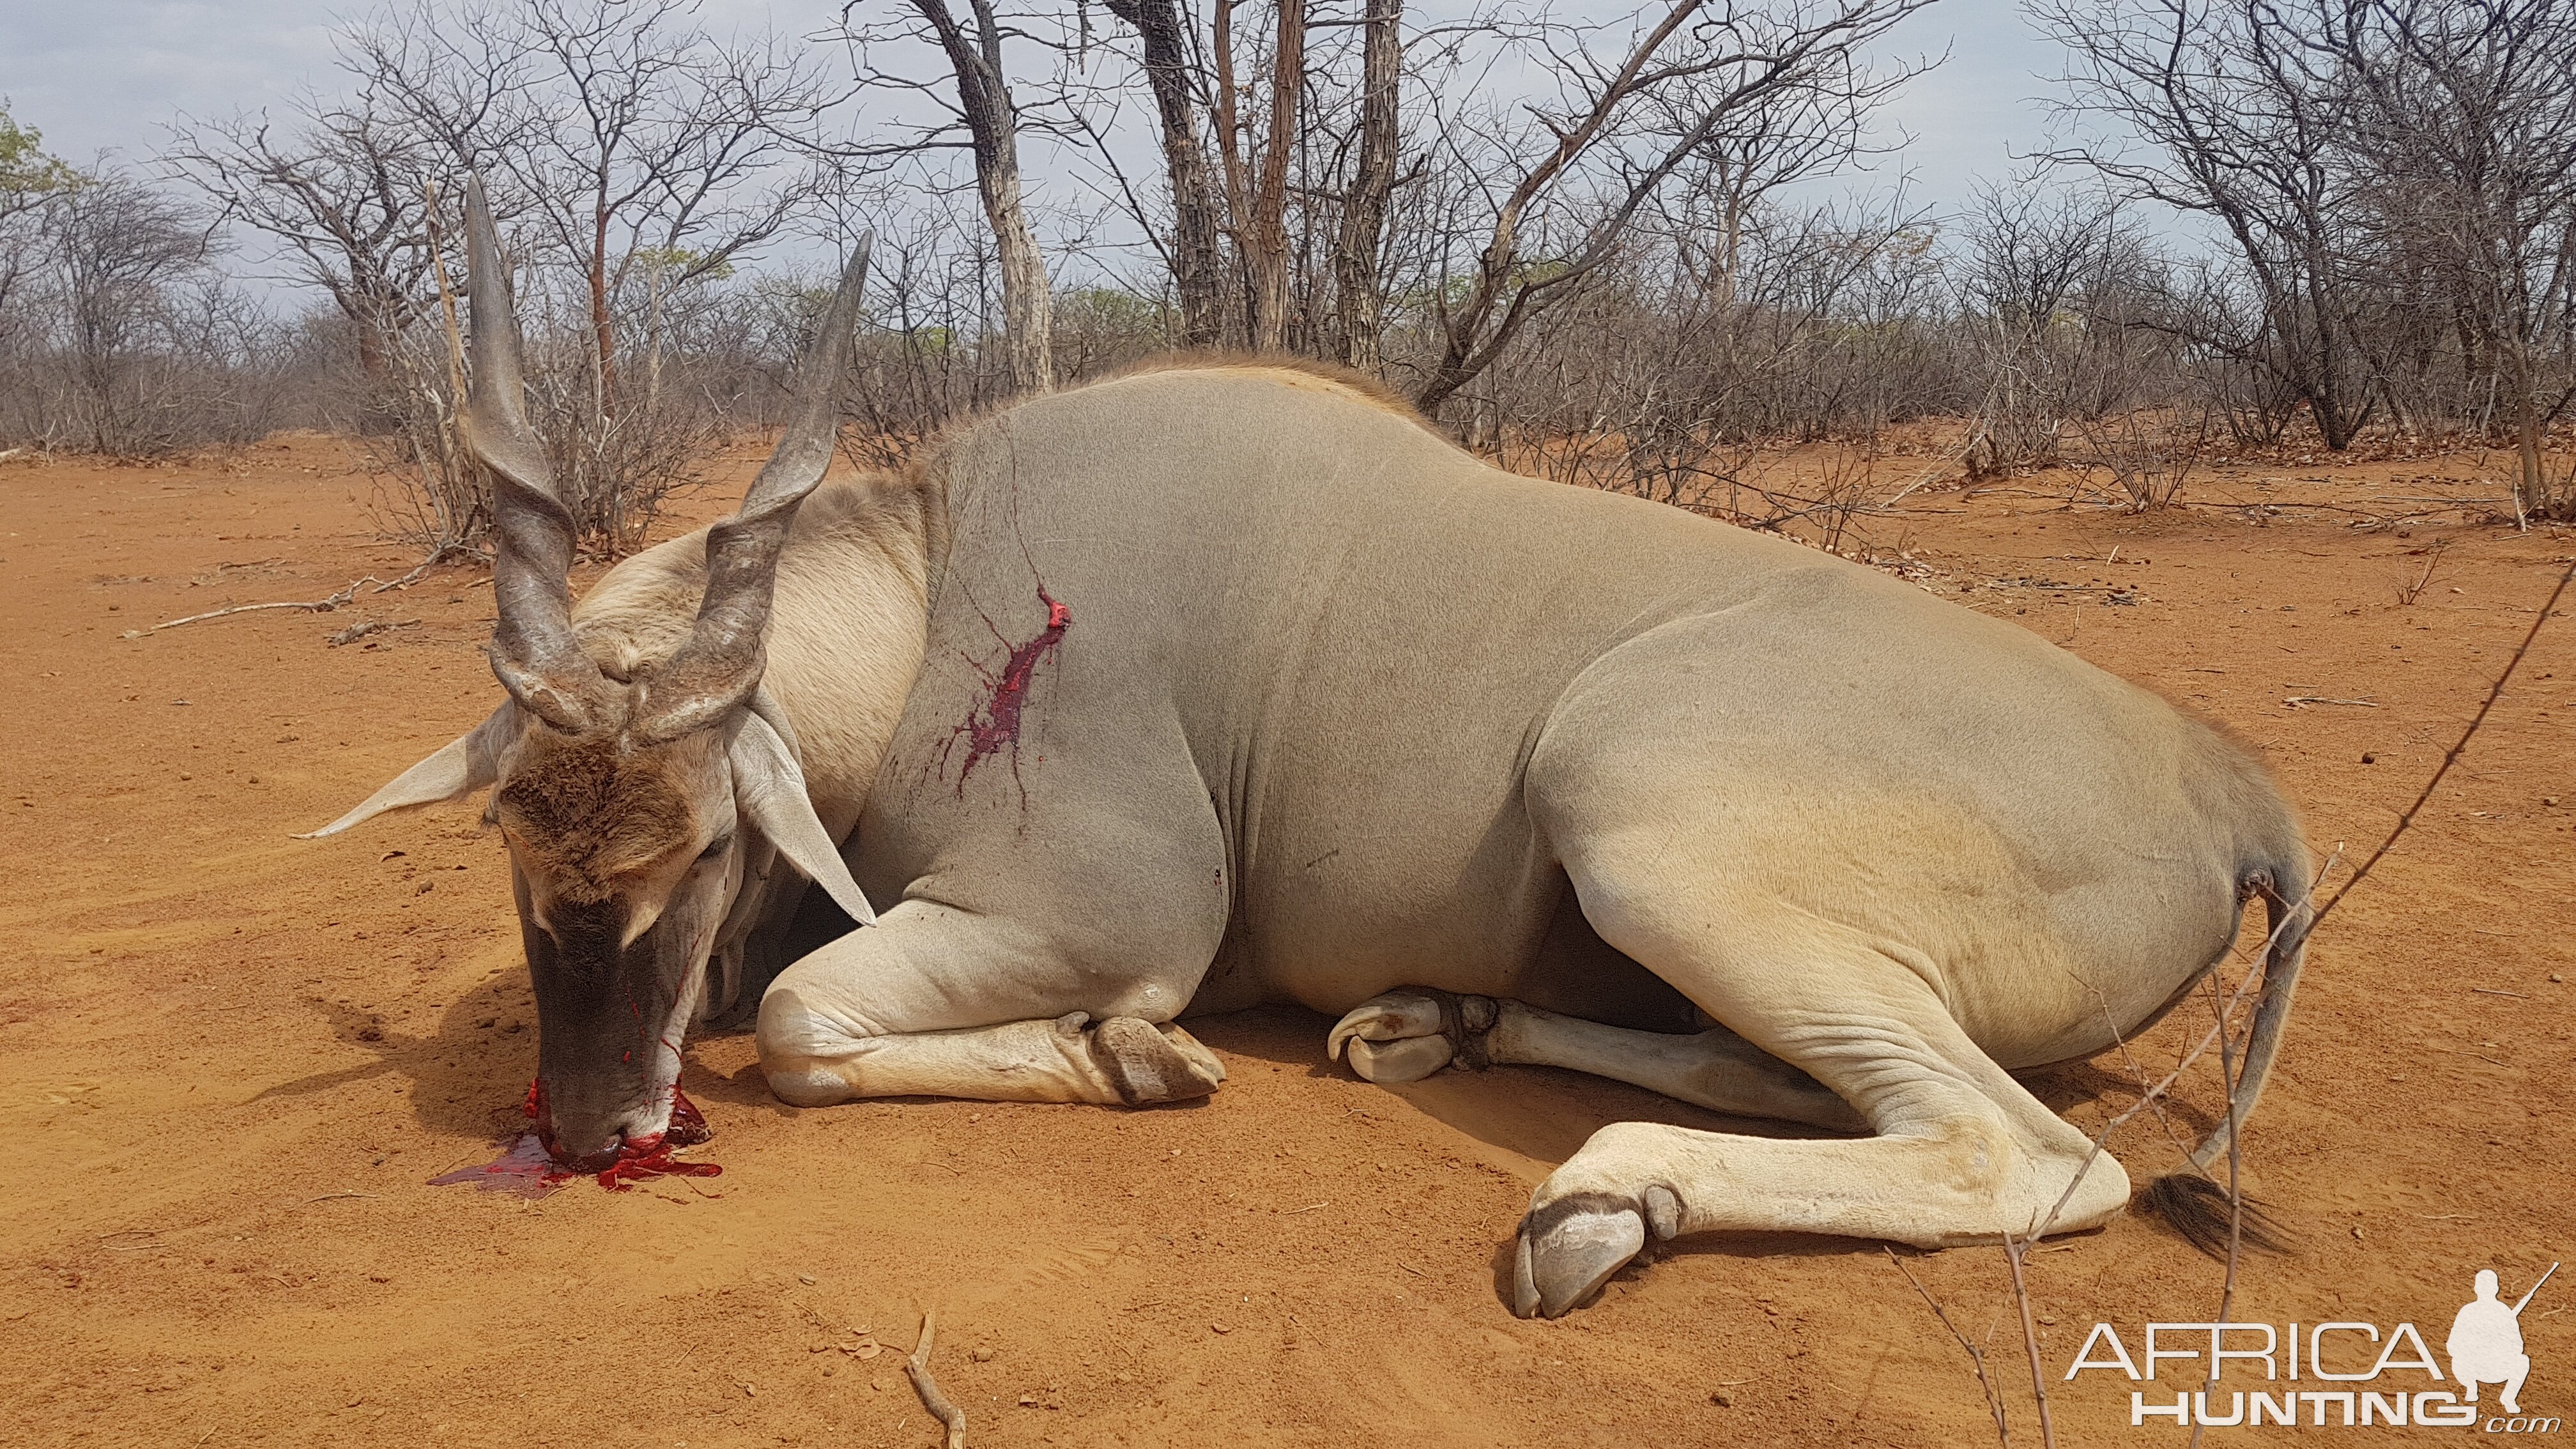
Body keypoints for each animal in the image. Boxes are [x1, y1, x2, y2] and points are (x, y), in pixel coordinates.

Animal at [316, 185, 2318, 1315]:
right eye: (515, 845)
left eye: (705, 845)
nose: (593, 1130)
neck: (938, 581)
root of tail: (2237, 791)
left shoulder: (1105, 914)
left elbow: (807, 1023)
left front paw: (1132, 1060)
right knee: (1829, 1081)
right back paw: (1445, 1027)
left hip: (1630, 808)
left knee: (2030, 1154)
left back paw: (1602, 1202)